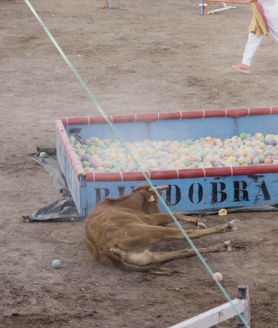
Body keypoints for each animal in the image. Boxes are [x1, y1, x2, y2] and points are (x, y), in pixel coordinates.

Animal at [85, 184, 237, 274]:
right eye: (156, 201)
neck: (123, 204)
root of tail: (103, 247)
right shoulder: (150, 219)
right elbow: (172, 215)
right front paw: (197, 221)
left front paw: (196, 220)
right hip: (151, 231)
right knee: (187, 234)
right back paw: (225, 227)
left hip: (146, 256)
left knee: (183, 252)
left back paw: (222, 246)